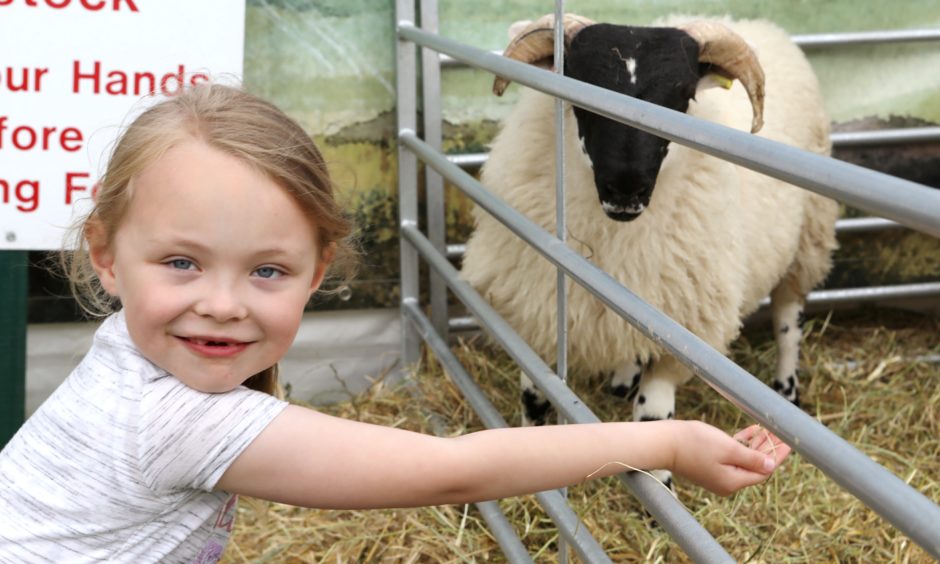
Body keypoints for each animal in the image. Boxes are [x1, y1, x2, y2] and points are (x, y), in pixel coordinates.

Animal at [460, 13, 836, 452]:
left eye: (683, 97)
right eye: (580, 86)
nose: (626, 188)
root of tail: (758, 23)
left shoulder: (681, 341)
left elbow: (654, 420)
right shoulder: (537, 316)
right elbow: (535, 402)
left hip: (808, 237)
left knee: (788, 318)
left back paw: (786, 389)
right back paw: (623, 380)